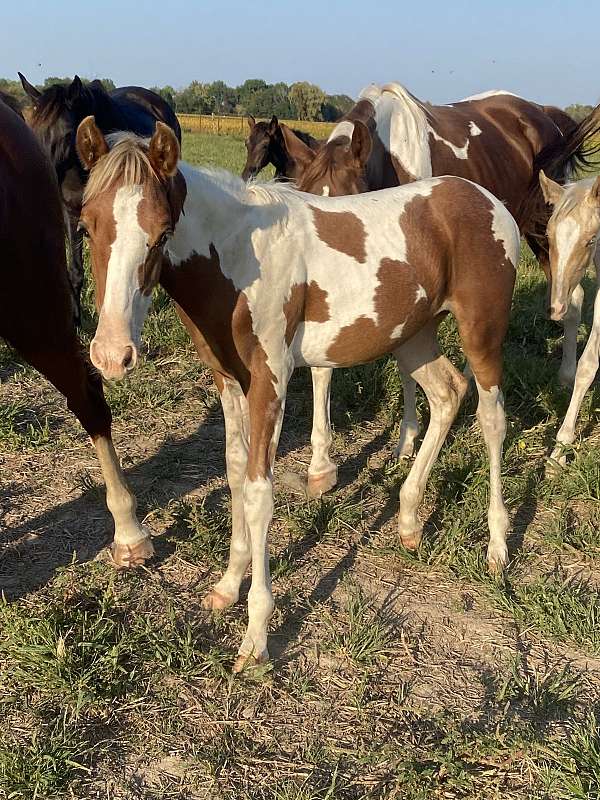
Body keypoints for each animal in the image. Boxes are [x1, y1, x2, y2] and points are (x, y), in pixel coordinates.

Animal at [74, 117, 516, 668]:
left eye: (162, 234)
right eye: (85, 226)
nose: (113, 355)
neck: (239, 255)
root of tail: (489, 201)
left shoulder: (272, 379)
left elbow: (259, 492)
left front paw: (255, 638)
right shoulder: (229, 380)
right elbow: (235, 473)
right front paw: (227, 586)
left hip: (483, 335)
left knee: (492, 419)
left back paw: (497, 546)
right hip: (414, 336)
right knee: (447, 394)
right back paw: (410, 520)